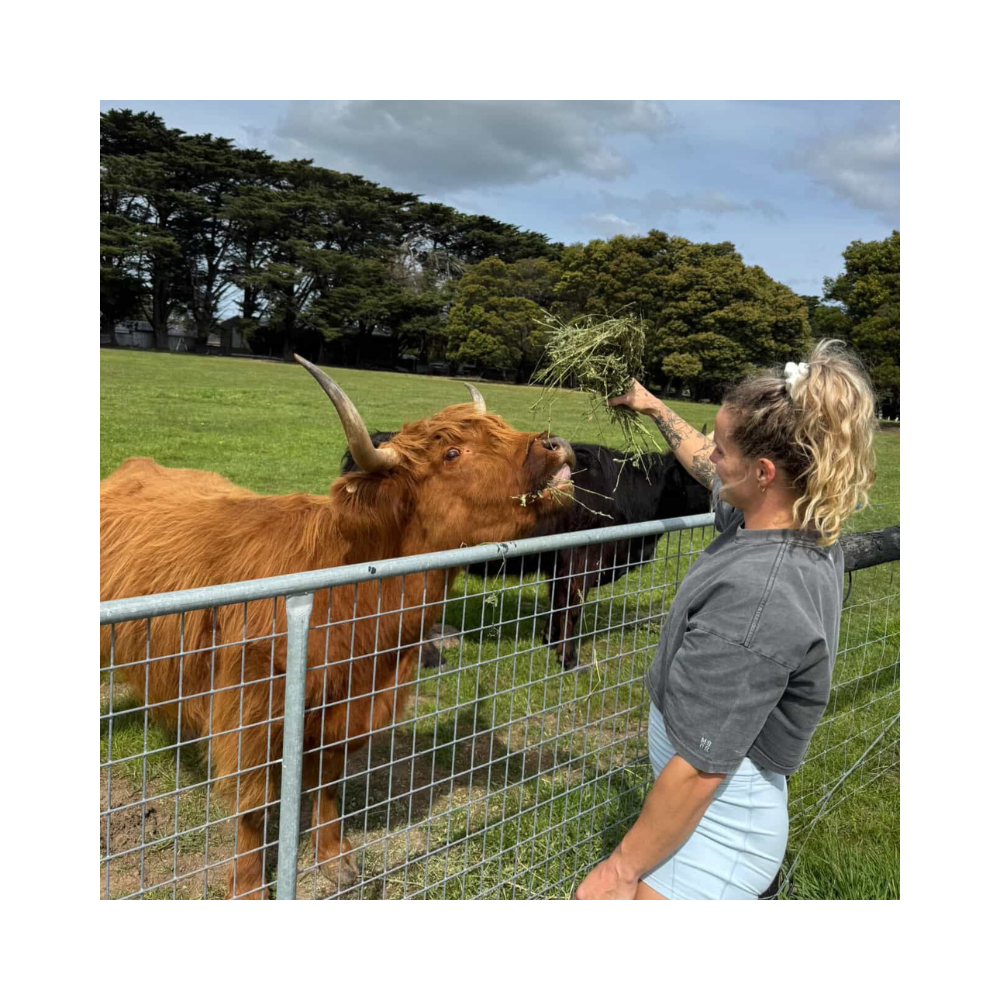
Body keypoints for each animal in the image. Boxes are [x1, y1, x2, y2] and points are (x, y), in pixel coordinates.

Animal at [100, 356, 575, 899]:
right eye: (453, 453)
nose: (556, 443)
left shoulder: (355, 704)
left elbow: (328, 781)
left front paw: (333, 856)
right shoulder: (250, 711)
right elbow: (254, 804)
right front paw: (248, 886)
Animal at [343, 435, 711, 670]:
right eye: (698, 476)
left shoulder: (559, 561)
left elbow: (557, 602)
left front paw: (550, 640)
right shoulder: (581, 559)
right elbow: (572, 608)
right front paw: (569, 659)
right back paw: (431, 659)